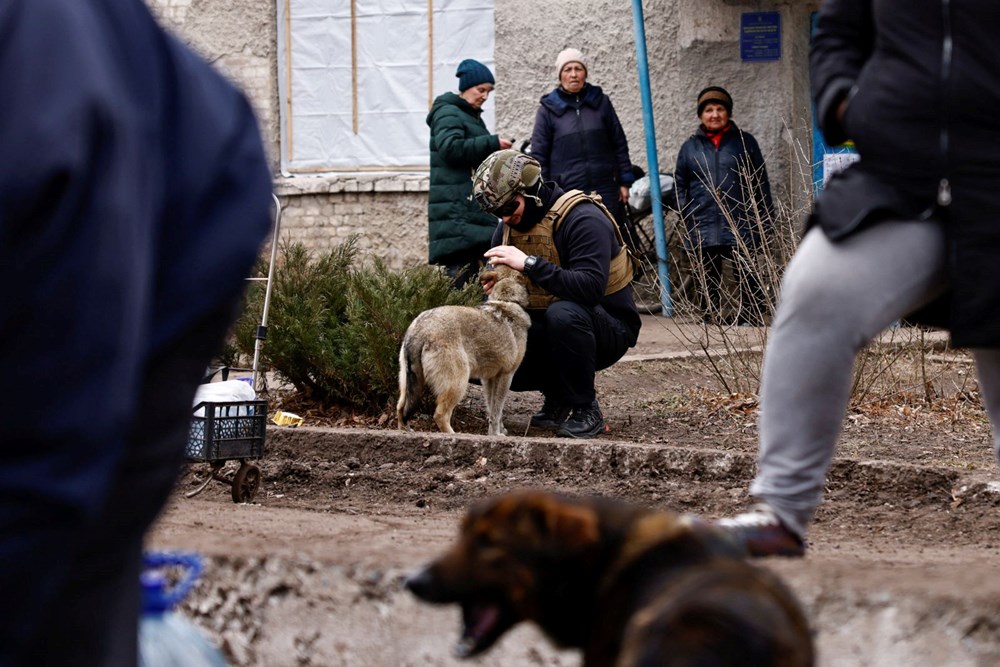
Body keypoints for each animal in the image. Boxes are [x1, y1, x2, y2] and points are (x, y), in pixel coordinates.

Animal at [396, 266, 532, 438]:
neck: (506, 301)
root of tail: (420, 328)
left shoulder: (489, 379)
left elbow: (491, 410)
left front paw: (493, 434)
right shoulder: (506, 376)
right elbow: (497, 412)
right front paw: (497, 434)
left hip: (409, 384)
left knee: (401, 408)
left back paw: (406, 431)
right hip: (458, 383)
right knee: (439, 415)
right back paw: (454, 435)